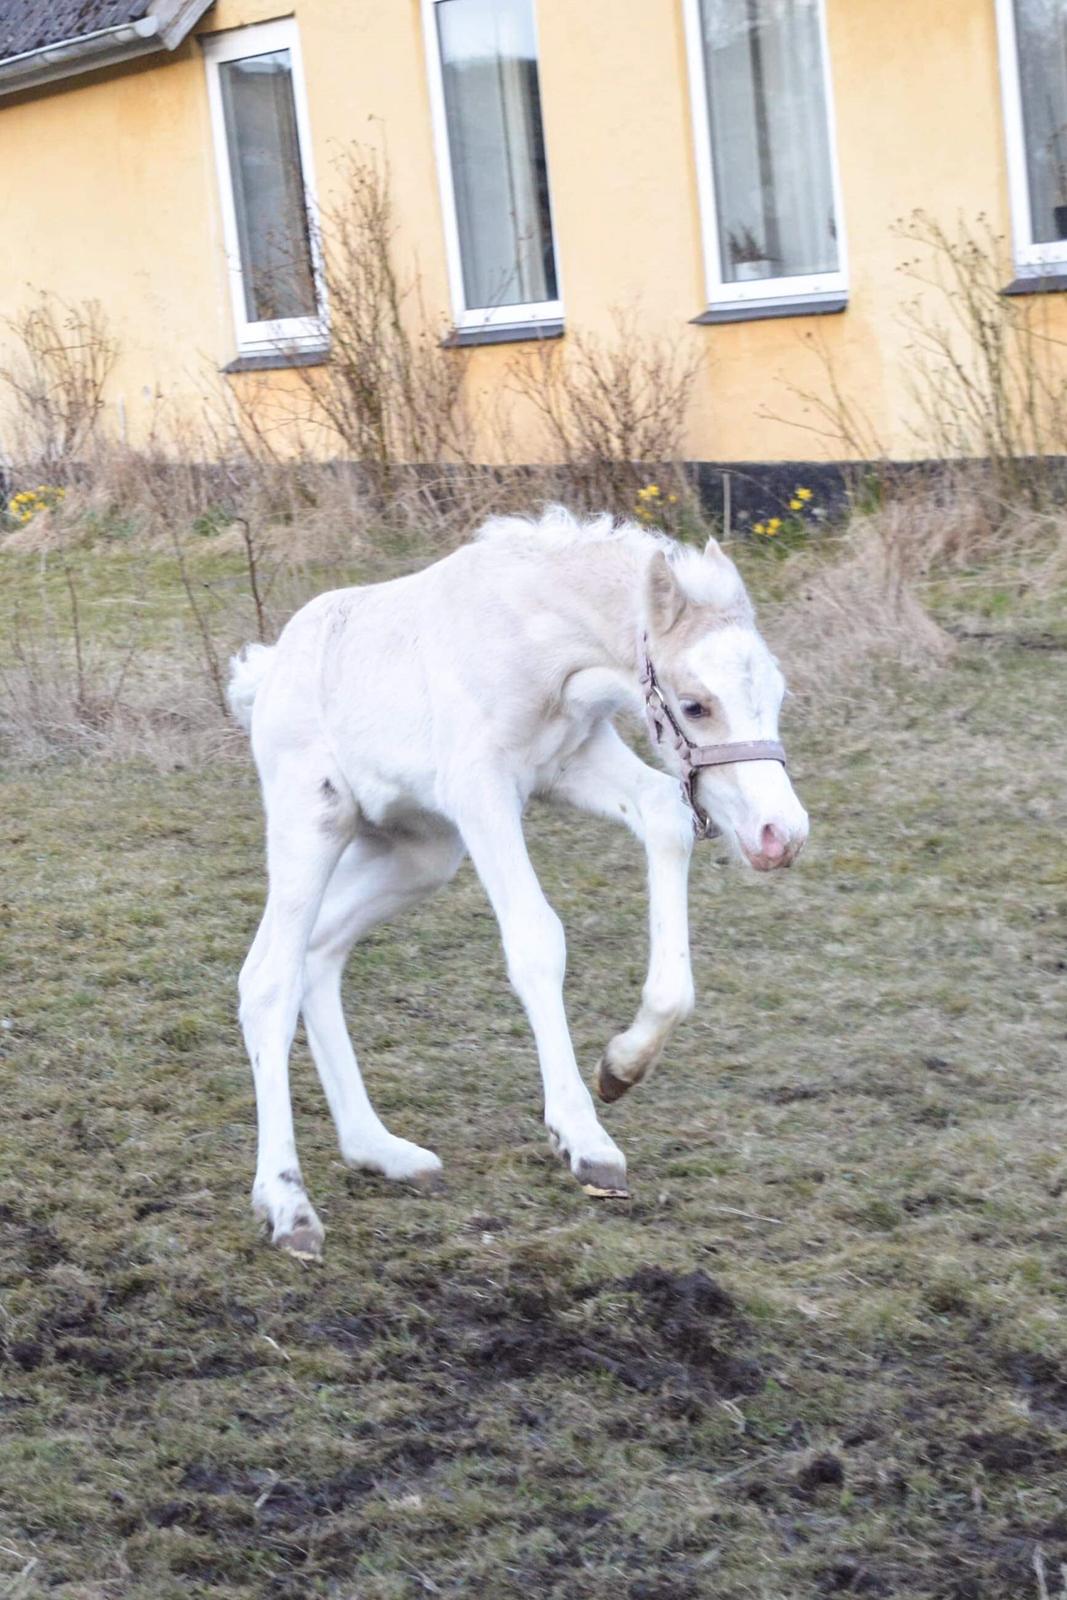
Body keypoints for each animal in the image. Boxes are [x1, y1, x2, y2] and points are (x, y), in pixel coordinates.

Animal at [227, 505, 809, 1254]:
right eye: (695, 705)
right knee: (268, 977)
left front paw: (621, 1067)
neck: (533, 636)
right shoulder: (482, 791)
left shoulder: (574, 762)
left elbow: (665, 817)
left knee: (319, 952)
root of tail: (269, 670)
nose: (780, 835)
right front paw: (585, 1139)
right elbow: (537, 941)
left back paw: (378, 1150)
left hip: (419, 852)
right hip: (314, 821)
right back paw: (287, 1205)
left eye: (776, 694)